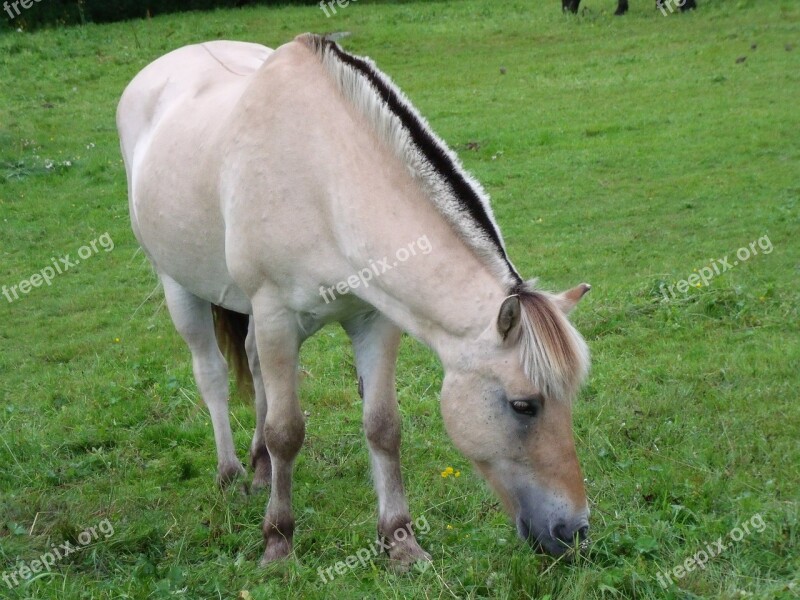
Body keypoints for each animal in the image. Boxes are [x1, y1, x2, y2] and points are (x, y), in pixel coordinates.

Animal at [117, 34, 592, 568]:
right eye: (523, 405)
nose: (574, 532)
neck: (324, 180)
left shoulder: (375, 320)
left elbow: (383, 426)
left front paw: (401, 542)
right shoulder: (276, 315)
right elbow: (287, 431)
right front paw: (278, 541)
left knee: (256, 371)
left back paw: (260, 471)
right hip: (180, 287)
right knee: (213, 376)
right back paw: (231, 473)